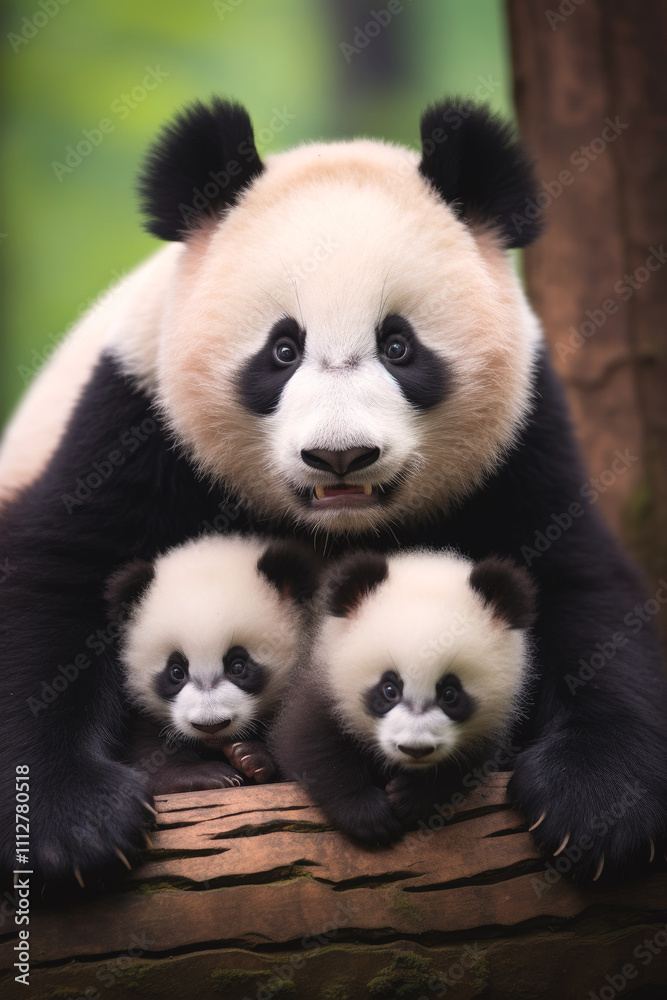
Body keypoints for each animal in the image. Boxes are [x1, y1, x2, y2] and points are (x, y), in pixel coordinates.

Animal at [105, 534, 319, 795]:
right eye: (176, 672)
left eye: (238, 666)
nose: (210, 725)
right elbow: (146, 749)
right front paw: (205, 774)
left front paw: (251, 756)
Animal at [271, 549, 536, 845]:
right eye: (389, 690)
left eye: (450, 693)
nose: (415, 749)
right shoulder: (323, 680)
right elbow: (309, 745)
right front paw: (367, 815)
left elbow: (467, 763)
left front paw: (411, 798)